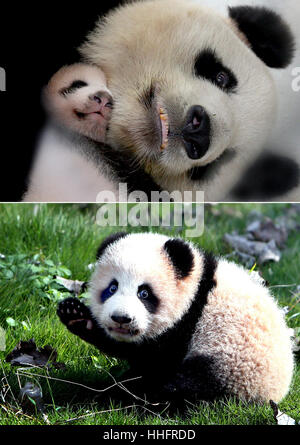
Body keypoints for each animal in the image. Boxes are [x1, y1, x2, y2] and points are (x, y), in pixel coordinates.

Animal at [57, 231, 294, 404]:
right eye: (112, 287)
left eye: (144, 293)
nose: (121, 318)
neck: (196, 286)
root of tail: (275, 394)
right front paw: (75, 314)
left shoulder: (185, 327)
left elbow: (150, 357)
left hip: (233, 369)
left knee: (187, 386)